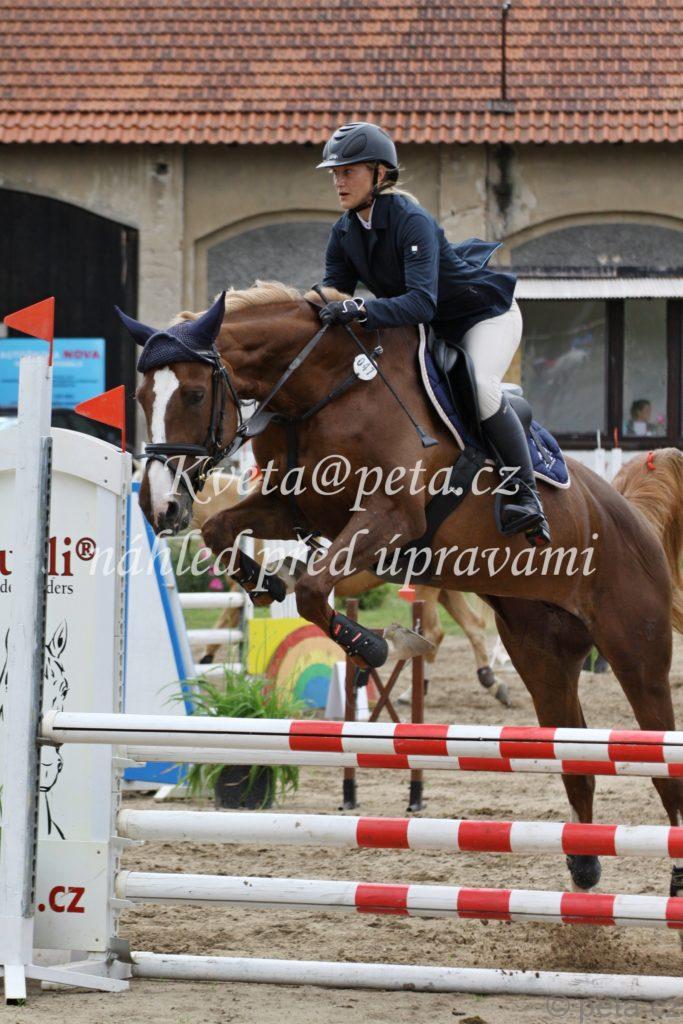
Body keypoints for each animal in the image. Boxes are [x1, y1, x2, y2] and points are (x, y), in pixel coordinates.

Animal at [125, 282, 683, 898]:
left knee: (660, 759)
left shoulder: (391, 515)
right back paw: (583, 864)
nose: (159, 505)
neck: (319, 388)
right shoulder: (296, 505)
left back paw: (673, 874)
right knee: (576, 751)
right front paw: (268, 582)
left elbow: (315, 590)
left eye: (195, 394)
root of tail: (628, 512)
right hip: (542, 654)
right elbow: (225, 533)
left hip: (636, 653)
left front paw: (374, 644)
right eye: (143, 396)